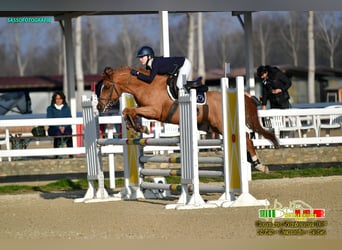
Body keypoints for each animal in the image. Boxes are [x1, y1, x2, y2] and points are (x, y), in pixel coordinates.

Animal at [97, 67, 280, 168]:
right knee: (246, 136)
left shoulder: (155, 111)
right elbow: (128, 111)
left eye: (106, 87)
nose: (99, 107)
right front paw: (136, 127)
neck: (145, 85)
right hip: (215, 127)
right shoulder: (146, 110)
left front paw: (138, 127)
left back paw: (258, 164)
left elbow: (129, 110)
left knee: (246, 137)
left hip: (222, 125)